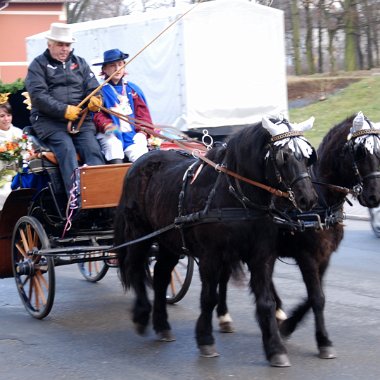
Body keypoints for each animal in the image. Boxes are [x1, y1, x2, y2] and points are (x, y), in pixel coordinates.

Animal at [114, 116, 320, 368]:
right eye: (284, 156)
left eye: (308, 156)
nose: (308, 198)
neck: (238, 196)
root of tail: (140, 162)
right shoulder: (211, 256)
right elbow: (209, 297)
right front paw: (205, 339)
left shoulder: (261, 256)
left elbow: (266, 301)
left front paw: (275, 348)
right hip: (140, 233)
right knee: (135, 268)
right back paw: (142, 314)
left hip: (170, 240)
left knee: (161, 276)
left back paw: (162, 325)